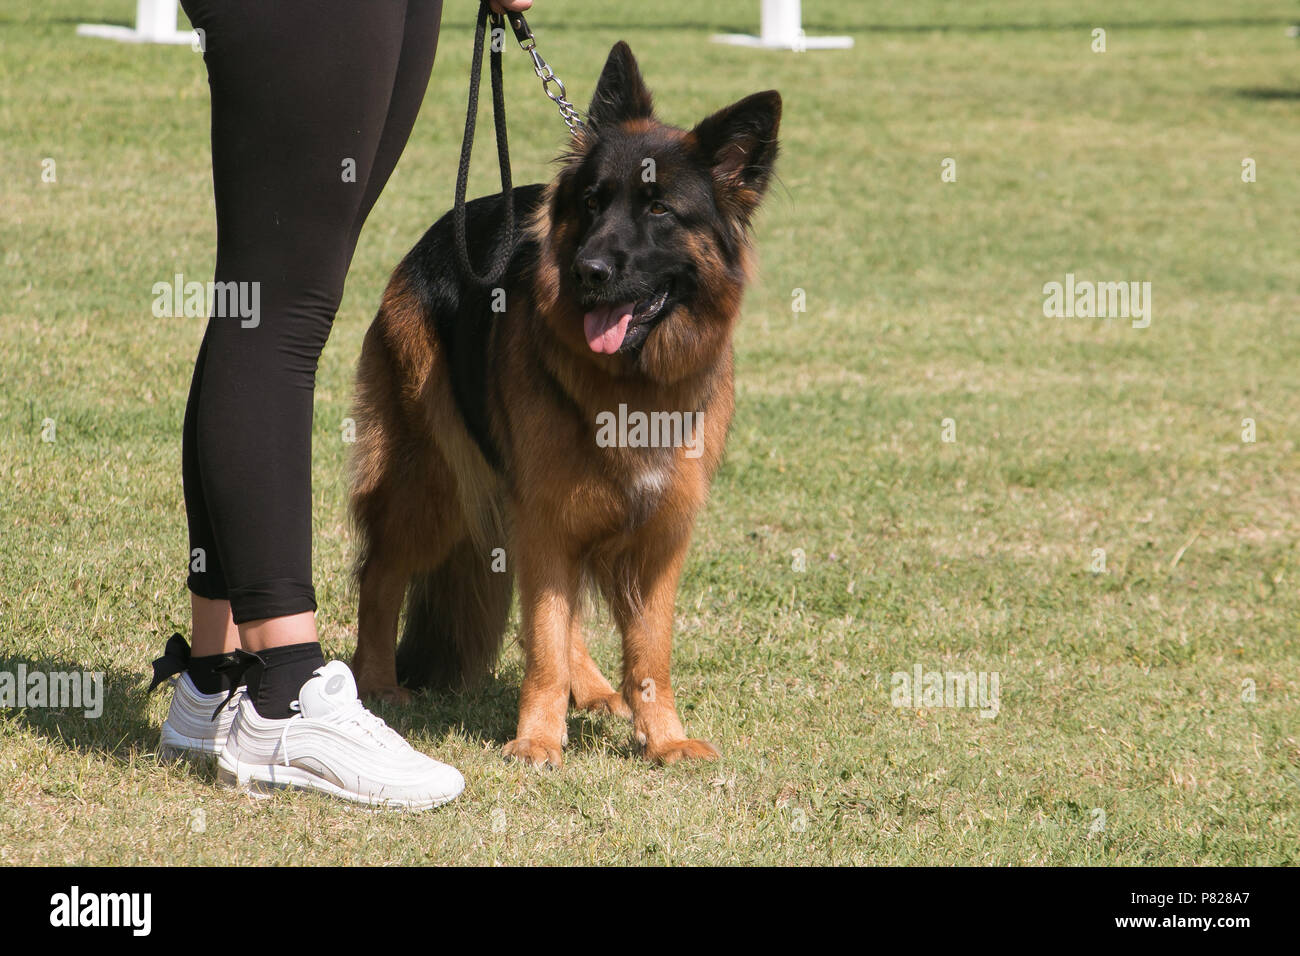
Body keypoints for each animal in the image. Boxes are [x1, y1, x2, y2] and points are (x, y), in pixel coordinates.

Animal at [348, 41, 780, 764]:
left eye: (659, 211)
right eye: (593, 202)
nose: (589, 271)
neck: (632, 386)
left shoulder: (657, 531)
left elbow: (647, 652)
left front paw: (664, 739)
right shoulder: (547, 514)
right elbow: (545, 637)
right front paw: (538, 740)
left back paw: (597, 690)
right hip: (434, 483)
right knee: (381, 574)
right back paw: (378, 684)